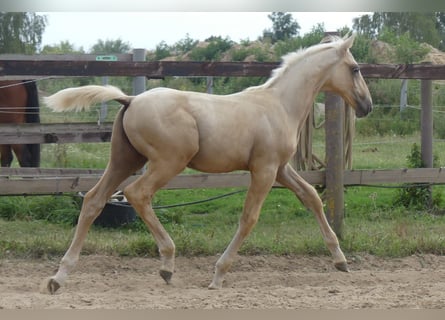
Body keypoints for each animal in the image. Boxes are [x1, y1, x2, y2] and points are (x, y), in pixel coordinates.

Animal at [42, 34, 372, 292]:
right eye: (355, 68)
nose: (366, 105)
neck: (279, 105)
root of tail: (131, 100)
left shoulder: (281, 168)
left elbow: (312, 197)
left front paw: (341, 261)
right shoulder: (264, 170)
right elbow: (249, 218)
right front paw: (218, 275)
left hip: (124, 160)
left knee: (94, 200)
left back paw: (59, 277)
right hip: (168, 162)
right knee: (138, 193)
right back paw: (167, 264)